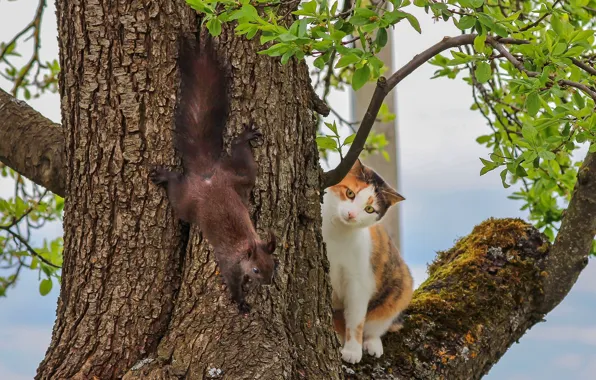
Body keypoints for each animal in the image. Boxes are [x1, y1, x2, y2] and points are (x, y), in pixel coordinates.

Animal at [151, 37, 278, 314]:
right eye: (256, 269)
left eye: (273, 266)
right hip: (187, 202)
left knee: (241, 156)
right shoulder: (229, 263)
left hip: (239, 179)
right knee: (177, 191)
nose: (267, 283)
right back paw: (165, 176)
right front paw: (241, 302)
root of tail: (207, 175)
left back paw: (245, 137)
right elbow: (232, 283)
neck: (246, 247)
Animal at [322, 159, 414, 364]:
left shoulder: (358, 282)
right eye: (350, 193)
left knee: (375, 326)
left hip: (401, 288)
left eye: (369, 209)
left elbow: (356, 320)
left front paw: (353, 350)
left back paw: (372, 344)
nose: (351, 214)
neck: (337, 235)